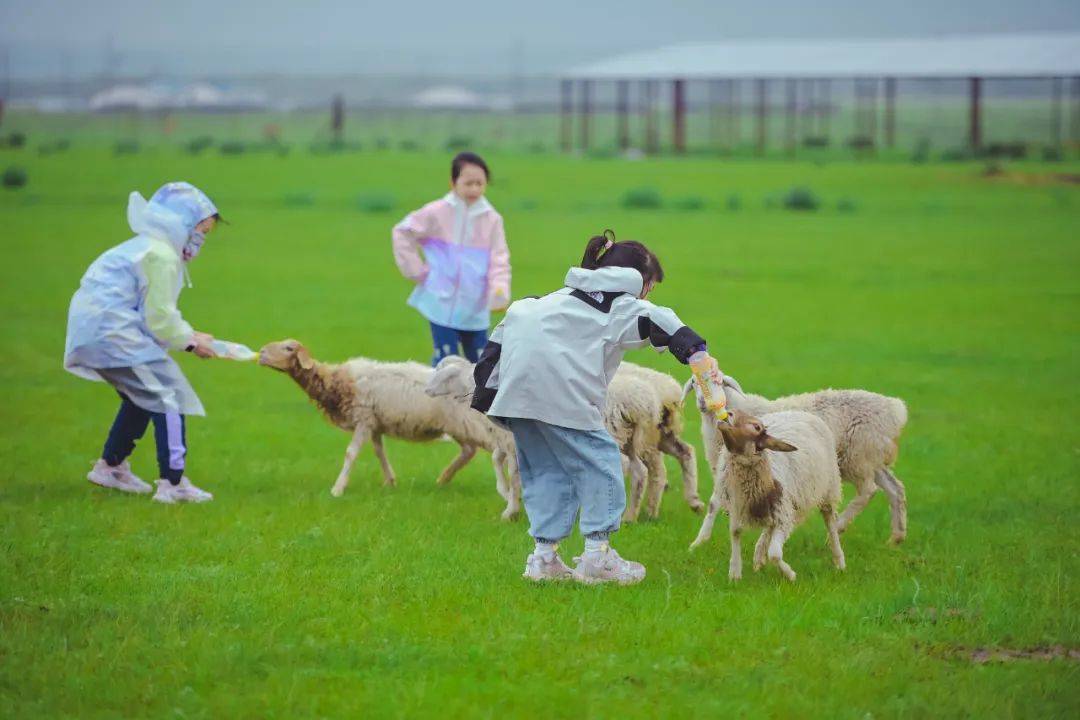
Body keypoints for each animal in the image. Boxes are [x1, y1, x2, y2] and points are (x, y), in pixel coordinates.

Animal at [258, 338, 509, 505]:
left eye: (288, 348)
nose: (260, 353)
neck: (338, 382)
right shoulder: (375, 423)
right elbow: (380, 452)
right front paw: (390, 481)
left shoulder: (363, 418)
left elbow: (351, 453)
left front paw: (338, 489)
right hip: (457, 426)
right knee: (468, 451)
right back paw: (444, 478)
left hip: (470, 424)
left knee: (494, 448)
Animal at [617, 362, 699, 515]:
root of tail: (668, 390)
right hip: (662, 434)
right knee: (685, 452)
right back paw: (693, 500)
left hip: (639, 439)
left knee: (652, 471)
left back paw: (643, 512)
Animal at [686, 408, 846, 582]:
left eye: (757, 427)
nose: (728, 413)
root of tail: (799, 411)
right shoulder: (738, 507)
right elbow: (735, 533)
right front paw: (735, 572)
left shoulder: (783, 517)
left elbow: (775, 554)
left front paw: (790, 574)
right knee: (768, 528)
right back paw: (758, 556)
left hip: (829, 488)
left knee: (830, 522)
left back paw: (839, 561)